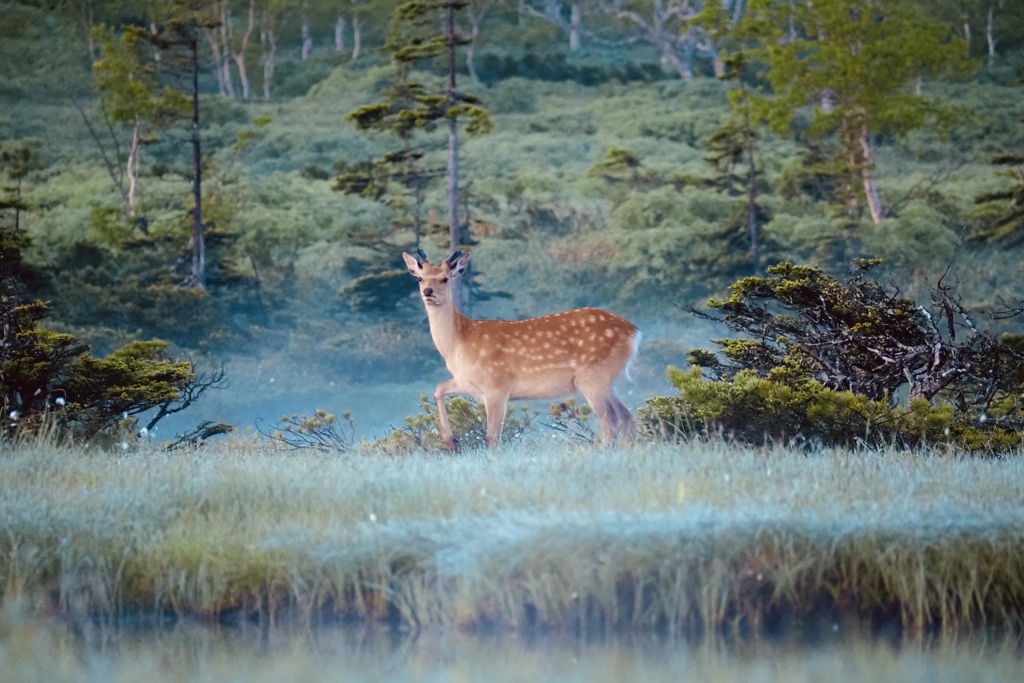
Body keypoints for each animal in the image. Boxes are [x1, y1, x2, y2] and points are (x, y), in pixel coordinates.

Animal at [401, 248, 634, 450]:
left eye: (444, 278)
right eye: (420, 278)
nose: (428, 291)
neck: (459, 344)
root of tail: (633, 331)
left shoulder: (496, 384)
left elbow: (492, 436)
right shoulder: (467, 382)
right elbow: (438, 389)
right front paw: (451, 442)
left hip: (593, 376)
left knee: (611, 422)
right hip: (609, 380)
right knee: (628, 418)